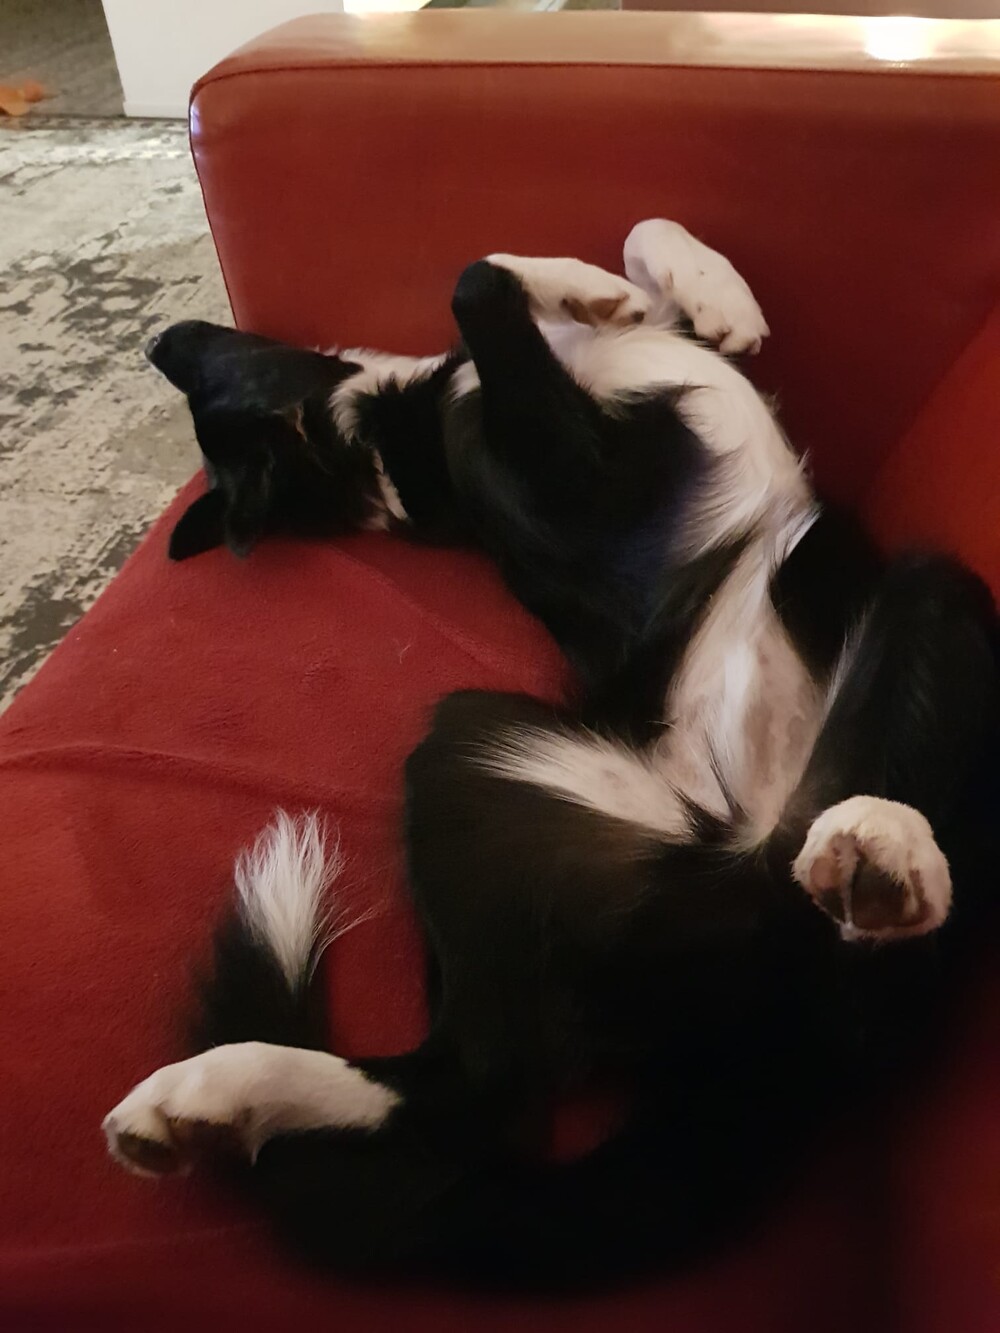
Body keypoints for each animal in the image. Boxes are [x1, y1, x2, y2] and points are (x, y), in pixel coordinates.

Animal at [103, 220, 999, 1284]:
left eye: (215, 374)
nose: (175, 334)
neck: (375, 445)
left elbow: (631, 242)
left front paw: (673, 293)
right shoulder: (576, 475)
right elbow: (473, 280)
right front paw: (597, 293)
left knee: (471, 1087)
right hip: (475, 746)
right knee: (476, 1086)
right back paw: (890, 866)